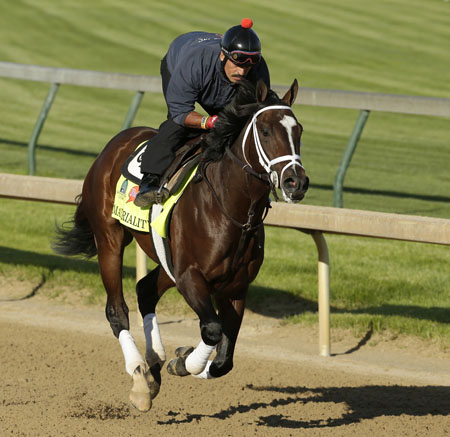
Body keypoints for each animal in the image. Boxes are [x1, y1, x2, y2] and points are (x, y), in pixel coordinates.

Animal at [52, 79, 310, 412]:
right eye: (265, 131)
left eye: (298, 131)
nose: (296, 182)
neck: (231, 209)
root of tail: (115, 143)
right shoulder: (190, 276)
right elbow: (212, 329)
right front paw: (182, 362)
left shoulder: (235, 286)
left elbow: (224, 358)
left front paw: (184, 359)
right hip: (109, 238)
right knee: (116, 310)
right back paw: (140, 379)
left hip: (167, 261)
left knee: (145, 290)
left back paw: (155, 364)